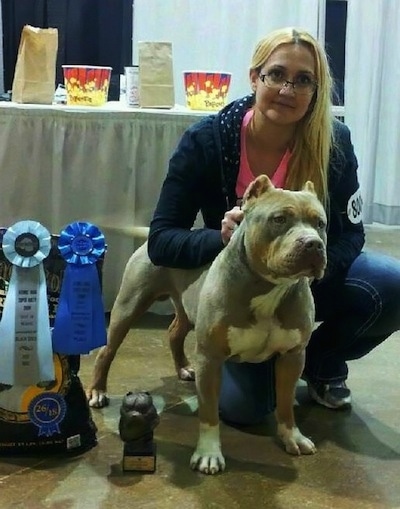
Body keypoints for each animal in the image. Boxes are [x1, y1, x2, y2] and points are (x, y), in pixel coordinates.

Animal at [86, 175, 326, 472]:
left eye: (320, 223)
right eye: (279, 219)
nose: (313, 243)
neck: (269, 289)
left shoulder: (292, 356)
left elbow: (285, 403)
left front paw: (292, 436)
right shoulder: (211, 359)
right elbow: (210, 412)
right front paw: (209, 454)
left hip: (186, 310)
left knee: (174, 333)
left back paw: (184, 368)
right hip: (128, 306)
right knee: (107, 350)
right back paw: (97, 391)